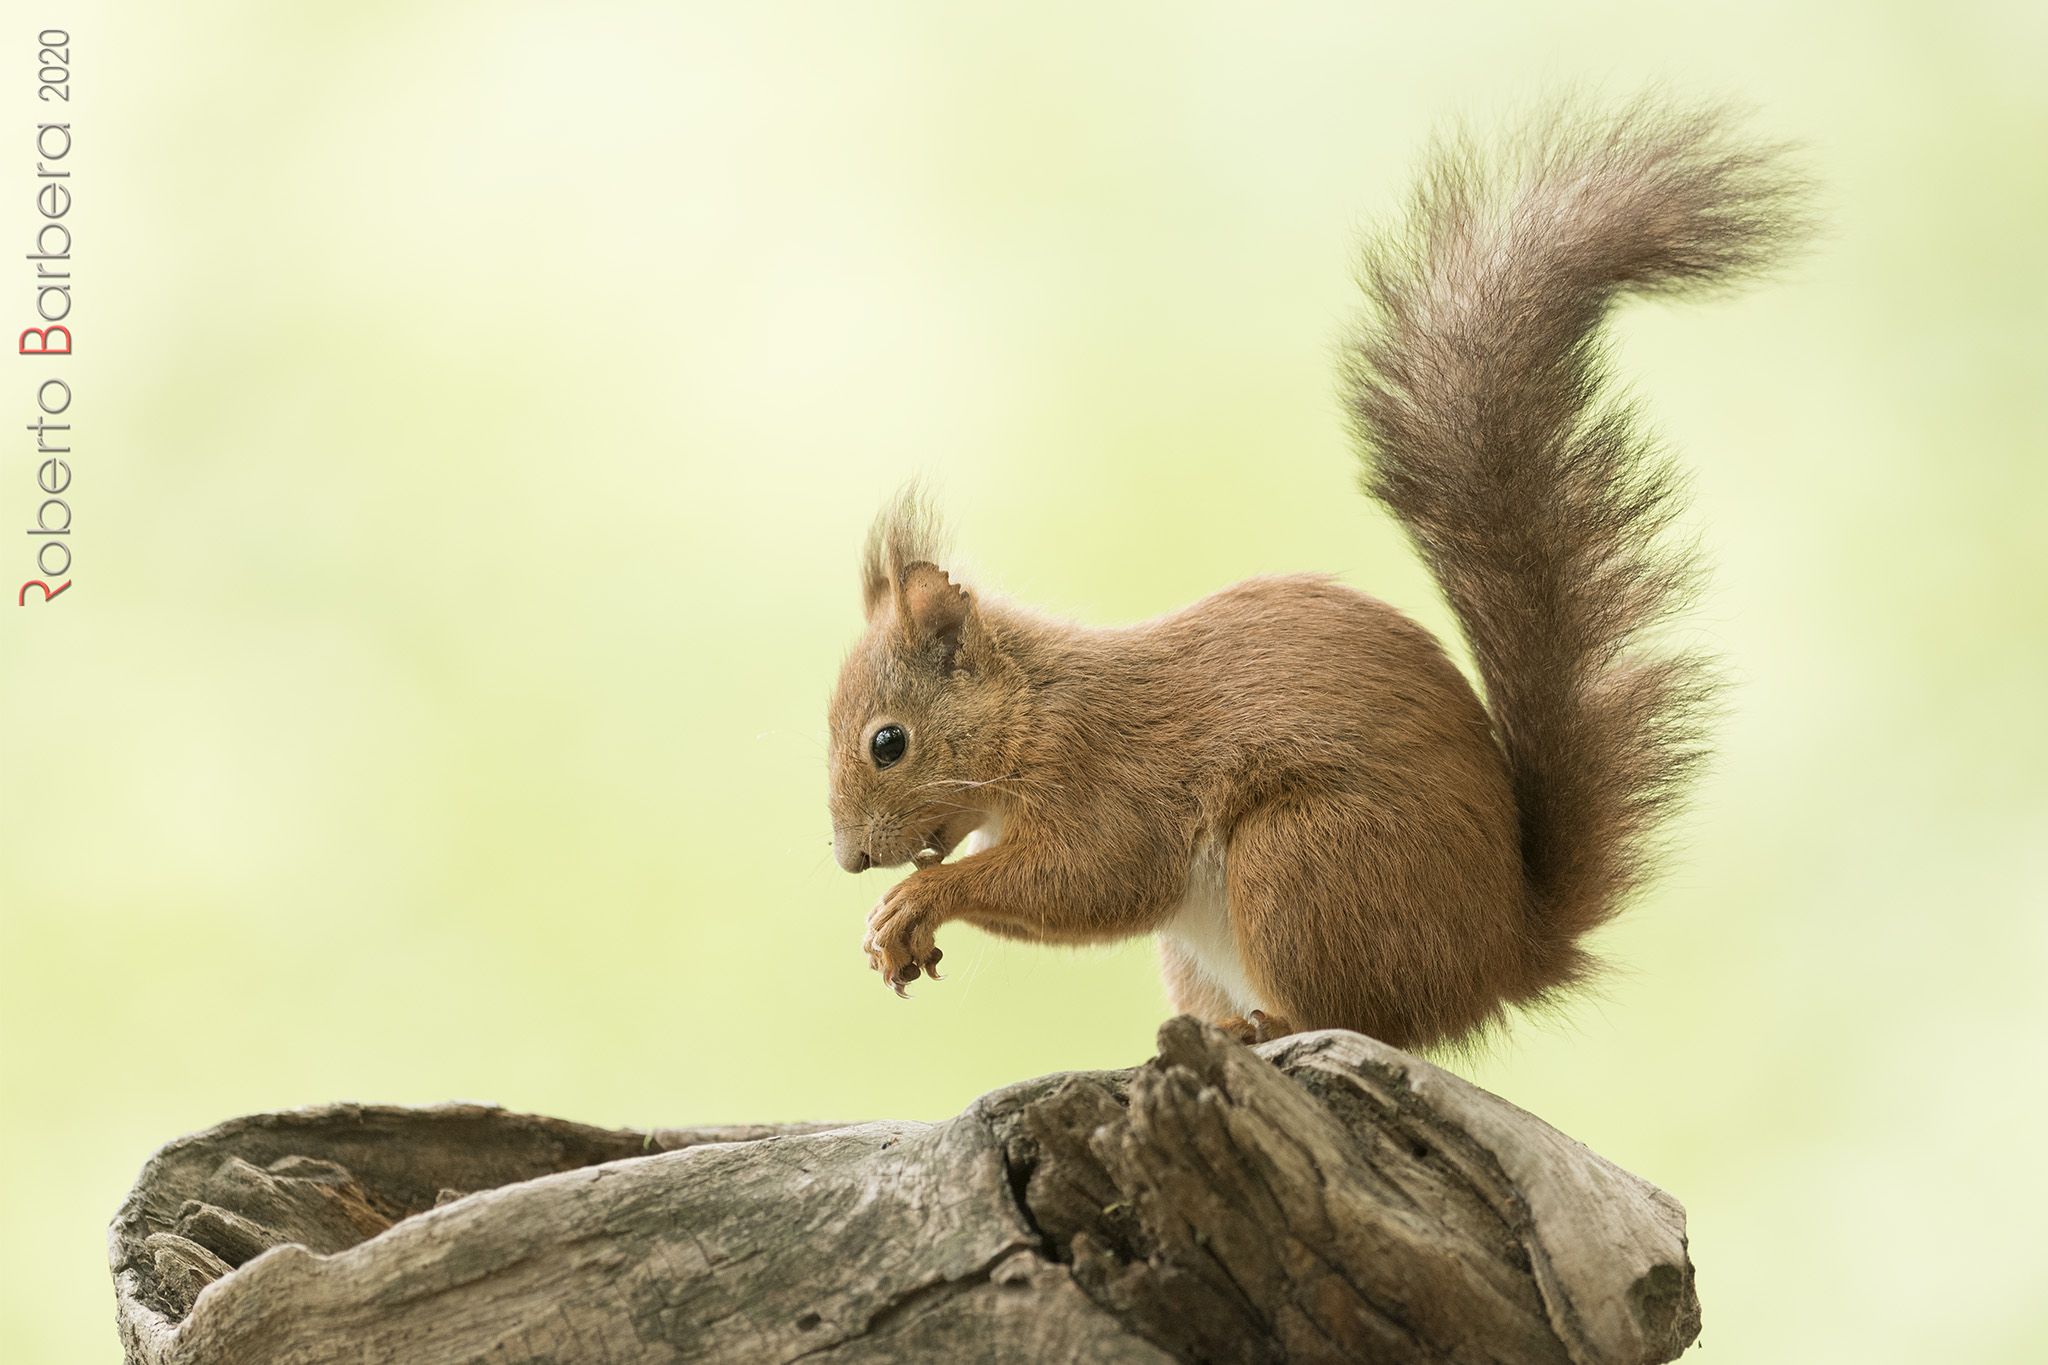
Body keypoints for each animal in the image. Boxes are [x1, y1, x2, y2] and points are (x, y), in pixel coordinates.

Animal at [826, 97, 1809, 1051]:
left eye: (889, 742)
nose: (847, 859)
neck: (1033, 709)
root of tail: (1502, 958)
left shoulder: (1106, 777)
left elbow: (1094, 877)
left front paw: (919, 899)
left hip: (1300, 859)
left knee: (1362, 1016)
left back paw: (1275, 1023)